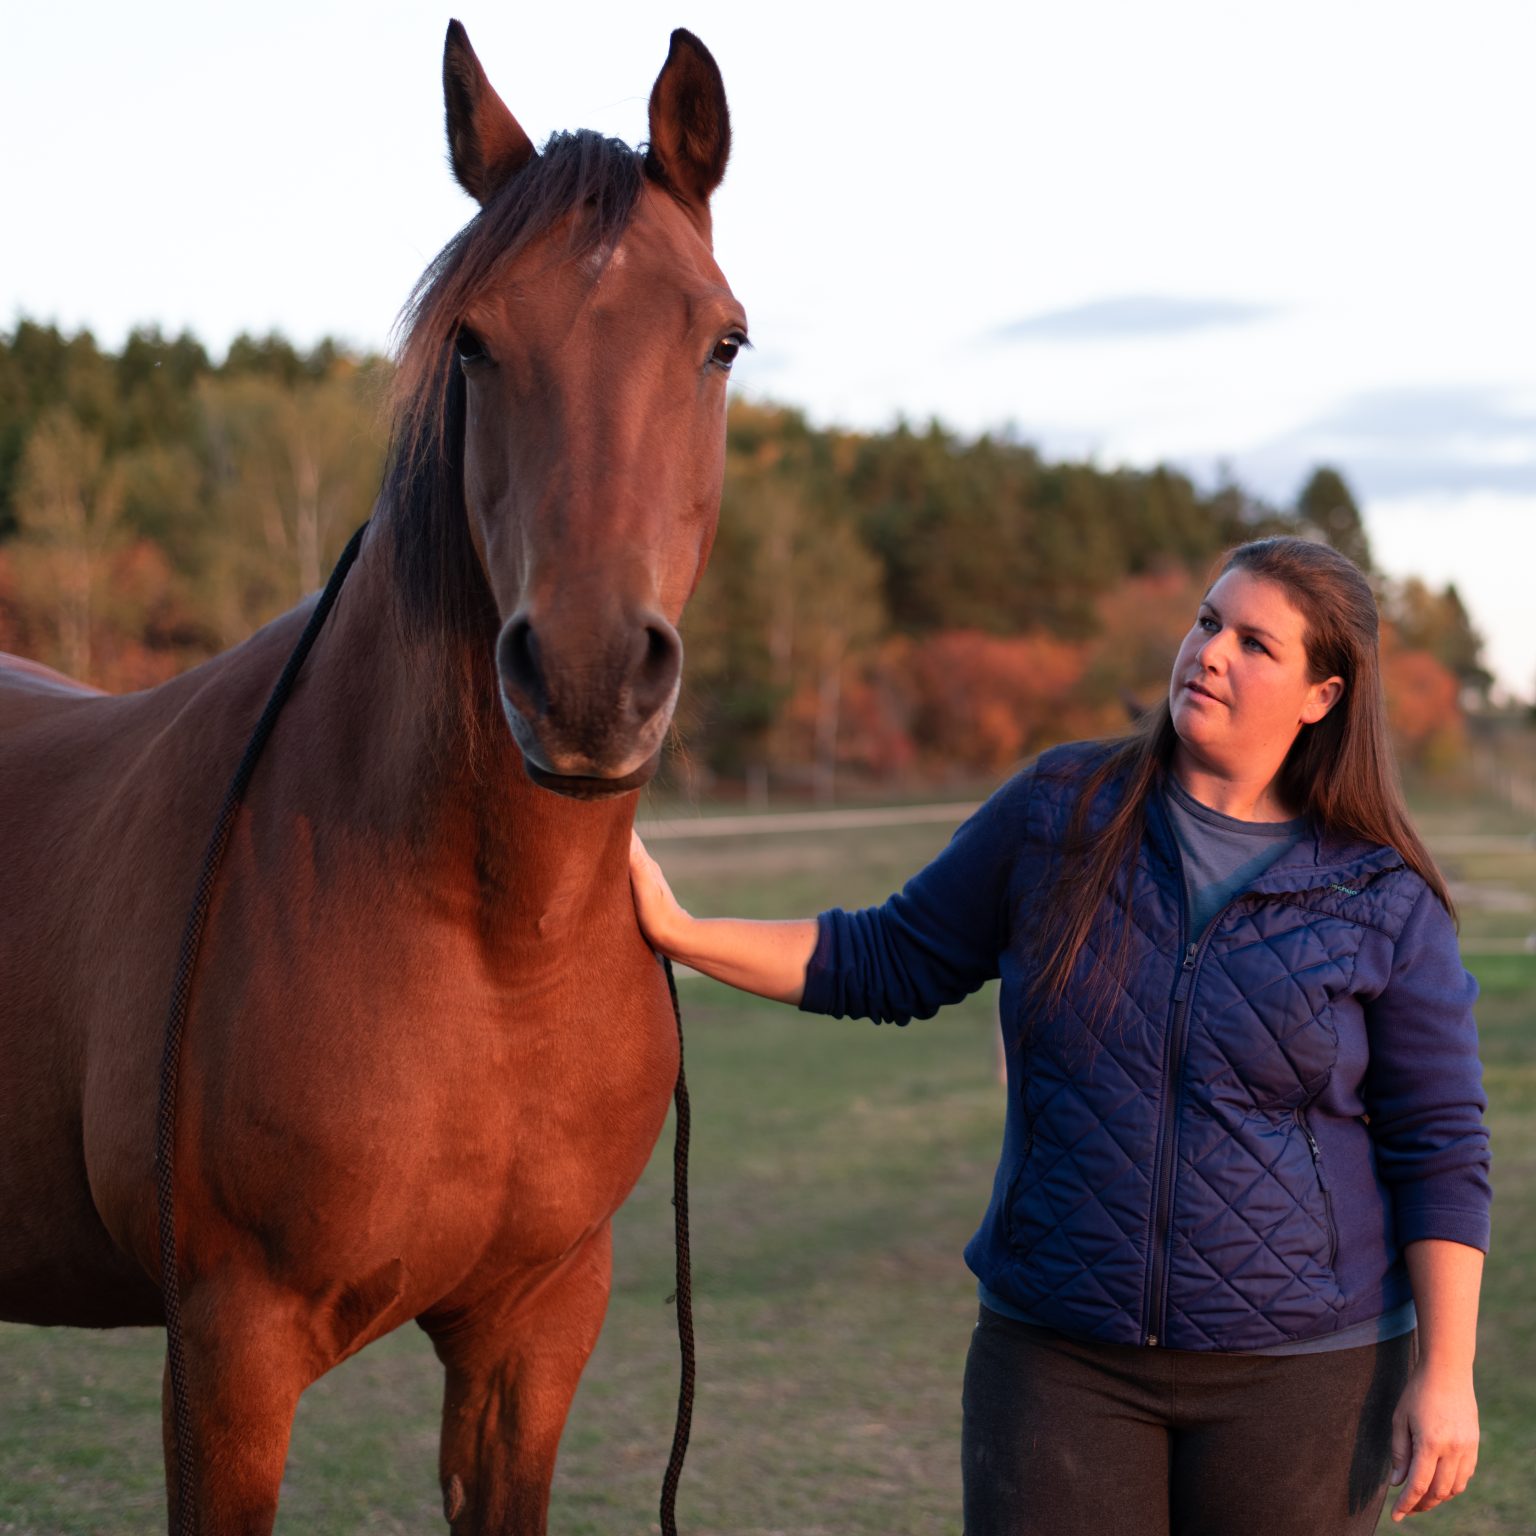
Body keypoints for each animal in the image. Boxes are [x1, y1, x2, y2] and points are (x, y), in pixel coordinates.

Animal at [0, 21, 743, 1534]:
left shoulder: (534, 1330)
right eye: (474, 342)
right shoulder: (227, 1350)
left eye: (721, 340)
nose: (585, 678)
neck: (491, 947)